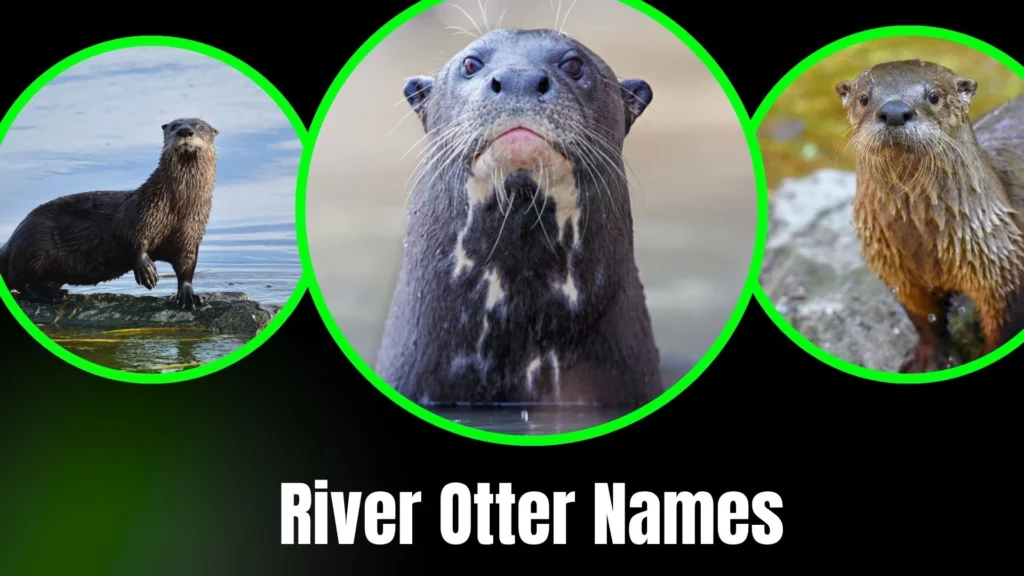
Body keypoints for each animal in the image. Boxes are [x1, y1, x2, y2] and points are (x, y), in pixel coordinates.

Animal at [0, 118, 219, 311]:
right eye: (174, 126)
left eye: (199, 126)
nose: (185, 131)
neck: (176, 209)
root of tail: (10, 243)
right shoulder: (141, 212)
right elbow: (130, 238)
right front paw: (146, 270)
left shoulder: (190, 233)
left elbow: (187, 266)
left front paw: (188, 294)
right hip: (35, 246)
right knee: (23, 282)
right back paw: (53, 296)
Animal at [836, 60, 1024, 372]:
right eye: (864, 98)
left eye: (934, 96)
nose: (895, 111)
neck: (924, 245)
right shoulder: (896, 270)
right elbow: (923, 319)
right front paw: (929, 359)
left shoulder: (1003, 266)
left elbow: (1004, 328)